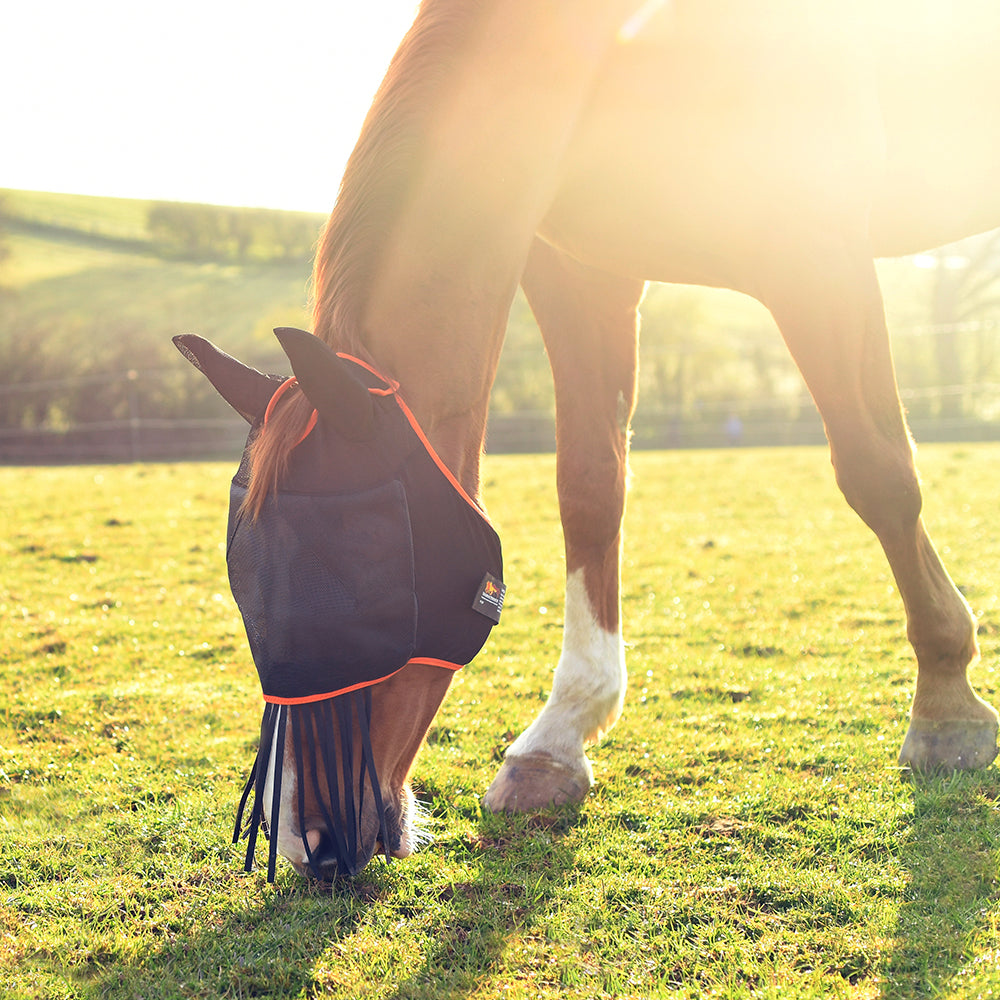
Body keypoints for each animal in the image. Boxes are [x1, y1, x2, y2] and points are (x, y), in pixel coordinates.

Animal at [189, 0, 1000, 880]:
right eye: (248, 597)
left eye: (373, 598)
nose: (307, 844)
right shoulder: (584, 273)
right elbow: (589, 486)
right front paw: (558, 739)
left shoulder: (817, 252)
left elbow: (879, 474)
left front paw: (947, 703)